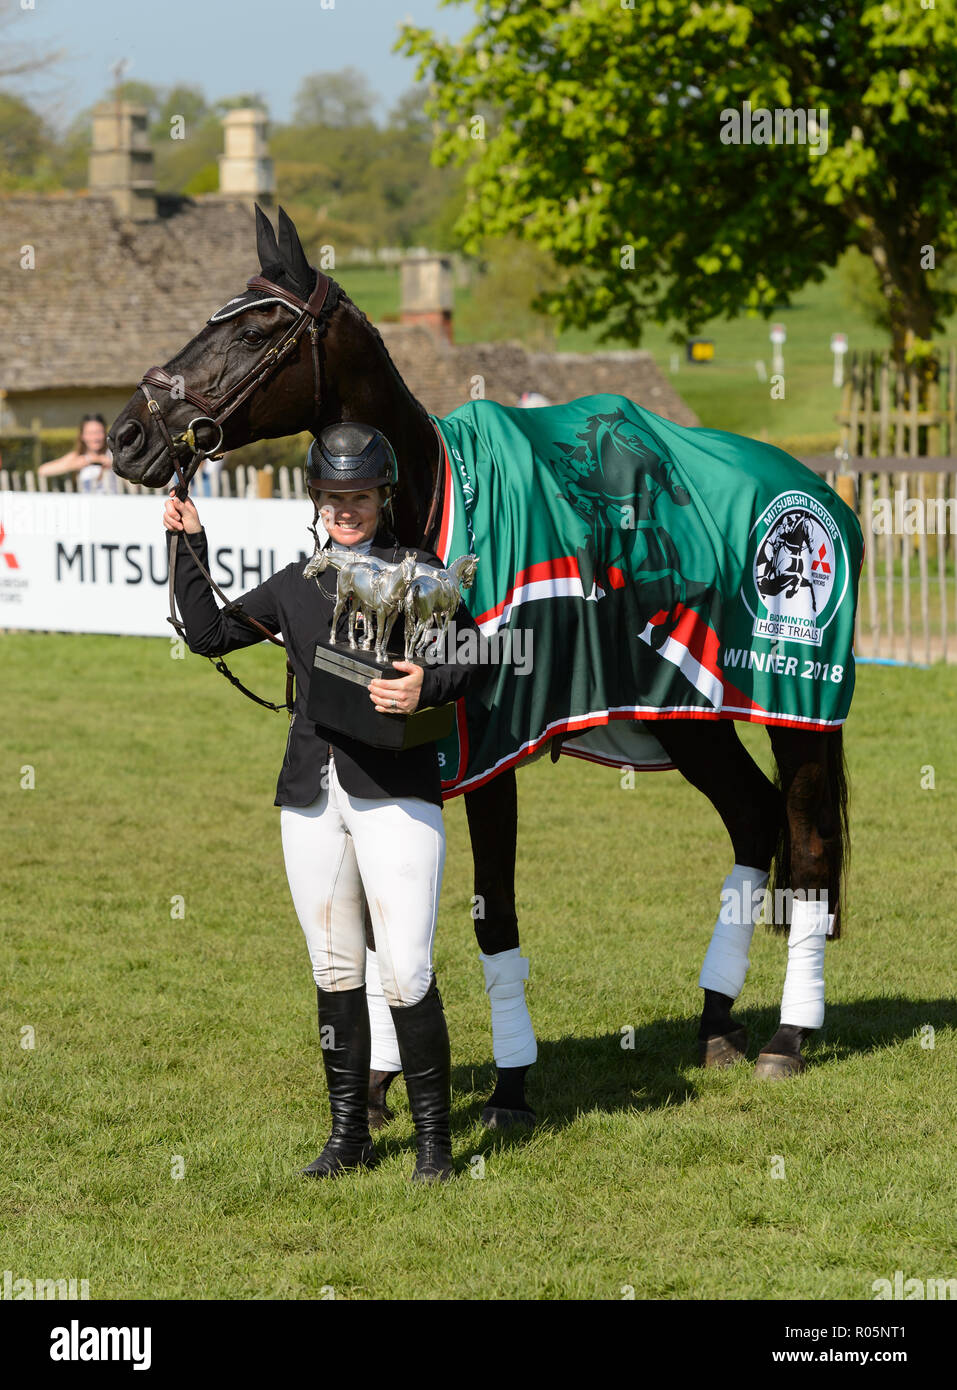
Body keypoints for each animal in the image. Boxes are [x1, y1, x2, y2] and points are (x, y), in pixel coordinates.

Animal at [108, 201, 856, 1123]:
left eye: (252, 330)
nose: (129, 433)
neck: (431, 506)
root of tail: (811, 489)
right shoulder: (420, 756)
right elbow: (382, 924)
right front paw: (381, 1080)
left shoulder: (492, 754)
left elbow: (491, 918)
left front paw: (510, 1087)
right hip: (685, 714)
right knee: (752, 816)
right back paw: (716, 1024)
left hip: (795, 707)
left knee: (808, 846)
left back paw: (788, 1036)